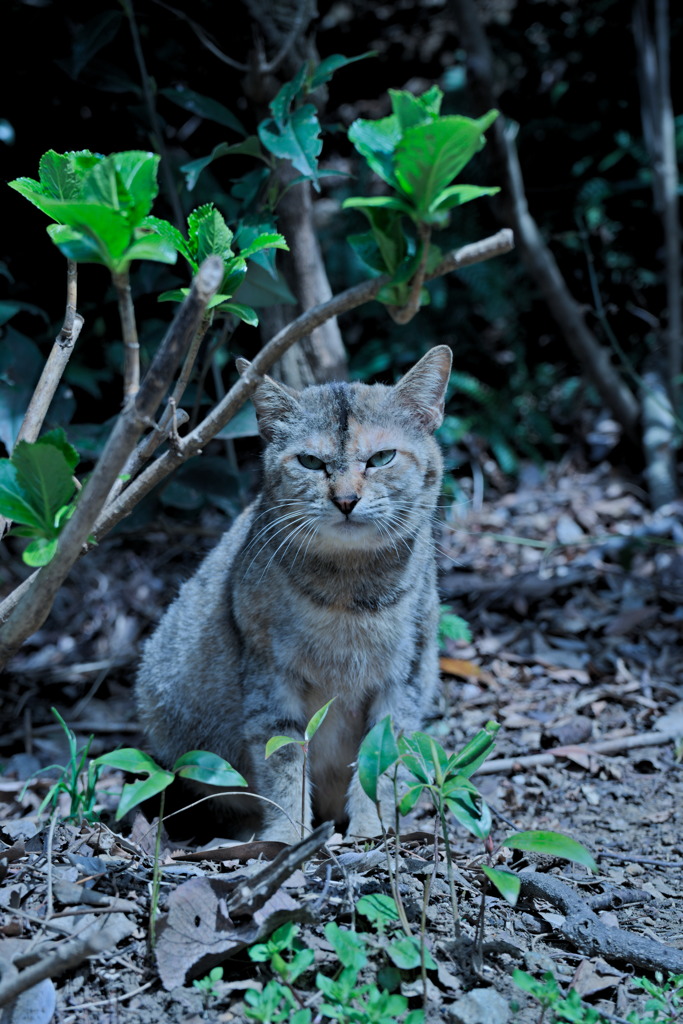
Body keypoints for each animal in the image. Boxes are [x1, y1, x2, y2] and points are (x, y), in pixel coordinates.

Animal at [135, 344, 450, 839]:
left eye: (381, 458)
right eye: (311, 463)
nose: (345, 500)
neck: (348, 588)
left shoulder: (406, 678)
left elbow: (381, 763)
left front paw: (370, 830)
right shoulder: (270, 676)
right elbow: (281, 756)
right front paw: (287, 836)